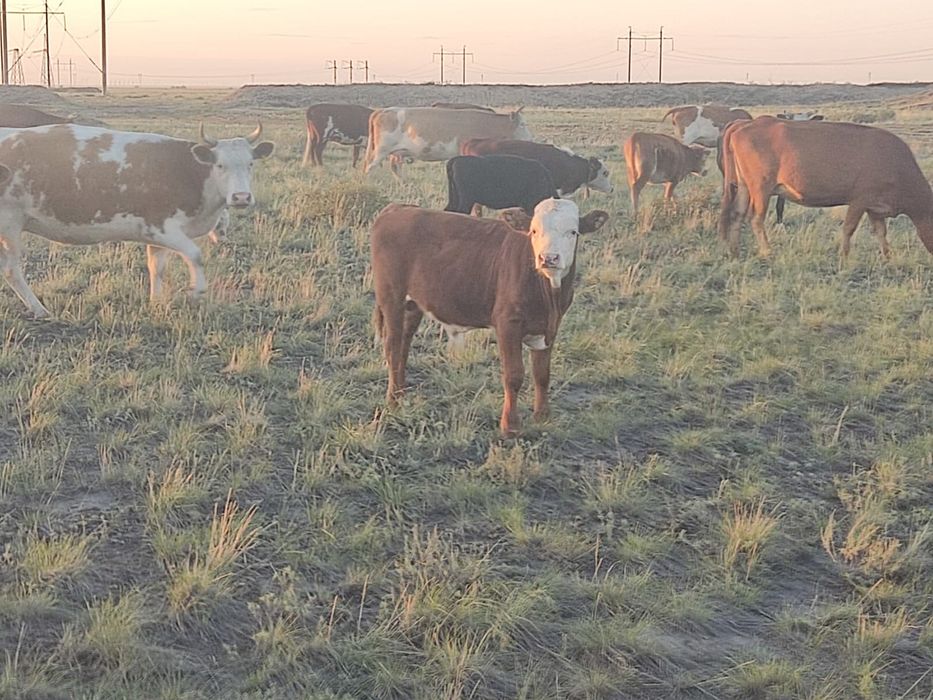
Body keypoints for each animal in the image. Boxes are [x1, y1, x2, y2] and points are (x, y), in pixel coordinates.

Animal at [0, 123, 274, 318]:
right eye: (219, 165)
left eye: (251, 164)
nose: (241, 197)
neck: (188, 172)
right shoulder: (163, 228)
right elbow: (195, 254)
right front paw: (196, 291)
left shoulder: (156, 237)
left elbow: (157, 268)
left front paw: (156, 301)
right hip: (10, 225)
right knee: (12, 271)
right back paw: (38, 309)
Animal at [364, 107, 532, 173]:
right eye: (523, 124)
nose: (531, 139)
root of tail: (383, 110)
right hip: (381, 150)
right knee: (370, 167)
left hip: (396, 152)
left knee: (396, 168)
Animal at [370, 198, 609, 435]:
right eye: (533, 231)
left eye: (573, 232)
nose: (548, 258)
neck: (548, 296)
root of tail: (397, 208)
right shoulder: (507, 324)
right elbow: (514, 375)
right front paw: (510, 426)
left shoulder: (550, 327)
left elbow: (542, 374)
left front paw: (542, 416)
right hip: (391, 297)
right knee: (392, 347)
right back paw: (393, 402)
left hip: (413, 304)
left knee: (404, 345)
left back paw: (401, 394)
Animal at [717, 116, 933, 259]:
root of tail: (746, 123)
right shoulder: (859, 199)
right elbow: (849, 228)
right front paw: (844, 257)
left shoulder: (875, 207)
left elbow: (881, 232)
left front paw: (888, 257)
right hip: (761, 188)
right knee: (756, 219)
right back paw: (766, 251)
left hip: (744, 186)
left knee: (736, 214)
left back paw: (734, 251)